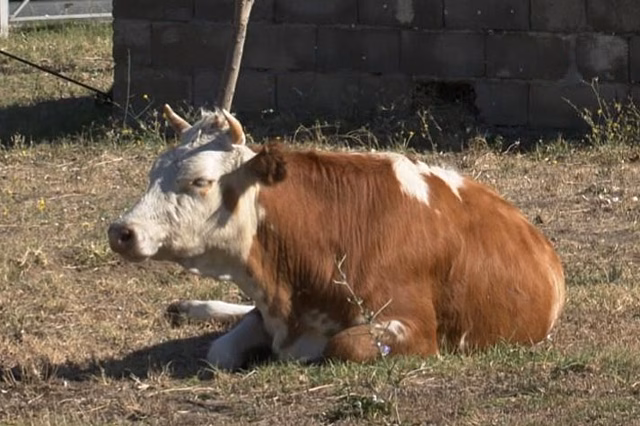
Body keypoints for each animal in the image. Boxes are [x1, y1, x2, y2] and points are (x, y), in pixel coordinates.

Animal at [108, 104, 566, 370]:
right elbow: (220, 350)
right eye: (152, 173)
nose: (121, 231)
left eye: (200, 181)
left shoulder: (414, 329)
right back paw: (189, 307)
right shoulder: (271, 311)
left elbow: (343, 346)